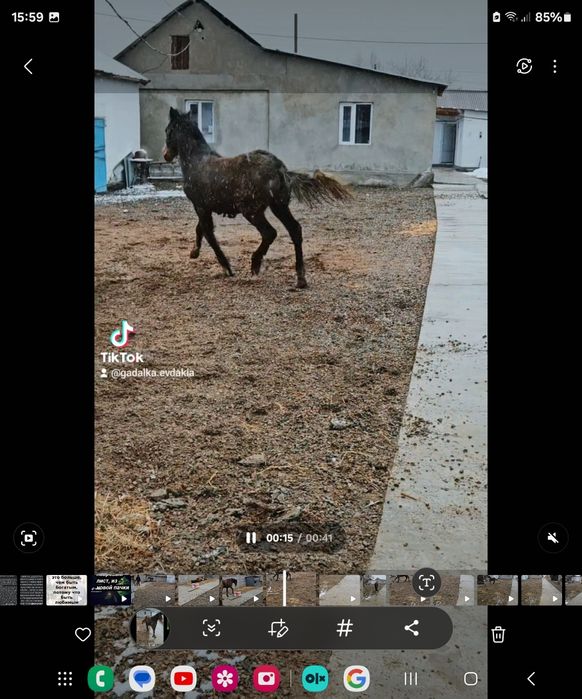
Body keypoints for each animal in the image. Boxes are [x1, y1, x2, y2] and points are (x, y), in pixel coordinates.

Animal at [163, 108, 351, 289]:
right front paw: (194, 252)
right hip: (279, 206)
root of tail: (280, 169)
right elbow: (200, 228)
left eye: (168, 130)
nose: (166, 155)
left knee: (270, 233)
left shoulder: (200, 206)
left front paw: (227, 267)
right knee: (295, 230)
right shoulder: (206, 207)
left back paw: (255, 264)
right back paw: (300, 279)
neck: (197, 161)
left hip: (252, 211)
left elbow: (208, 233)